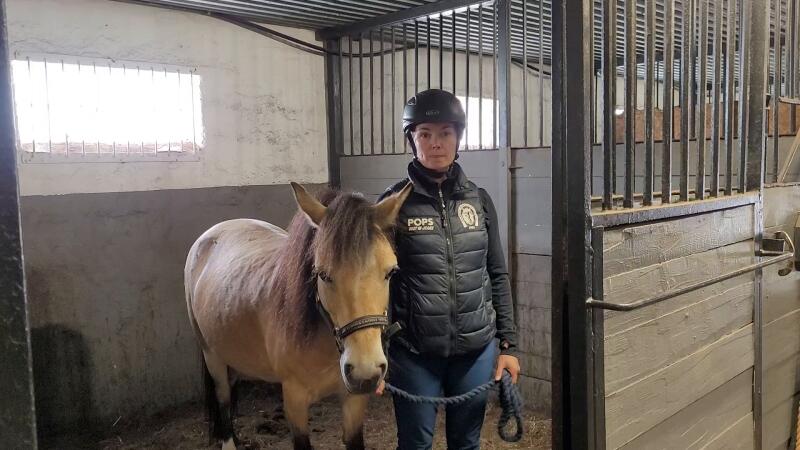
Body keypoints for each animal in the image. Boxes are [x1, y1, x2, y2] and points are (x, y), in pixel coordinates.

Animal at [184, 181, 413, 450]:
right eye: (323, 274)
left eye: (390, 272)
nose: (365, 372)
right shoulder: (294, 399)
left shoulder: (353, 400)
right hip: (212, 356)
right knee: (223, 399)